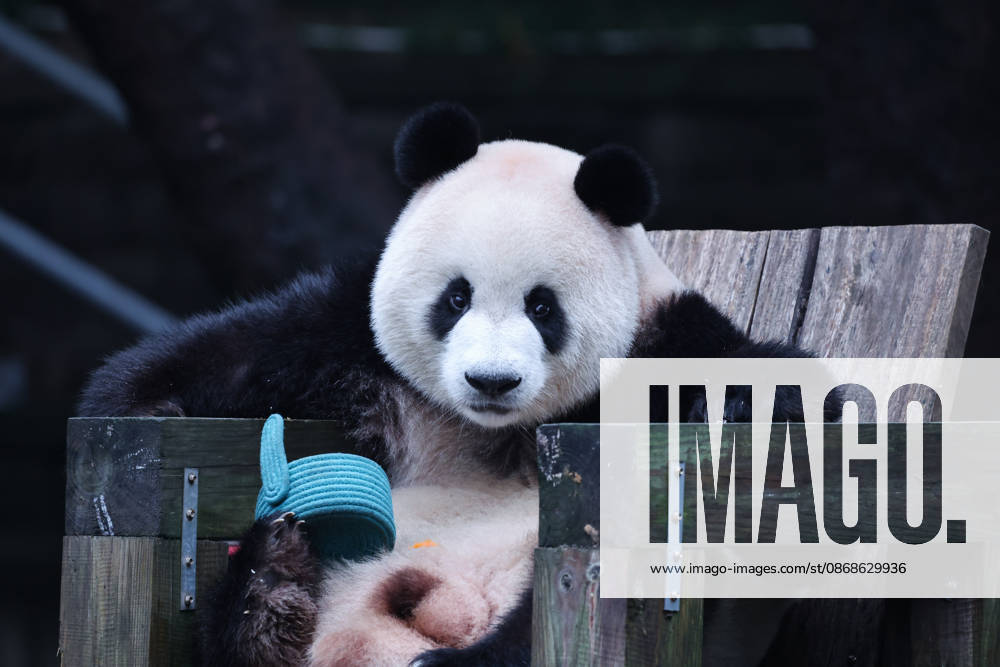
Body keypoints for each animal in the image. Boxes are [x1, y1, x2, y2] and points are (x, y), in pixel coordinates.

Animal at [78, 102, 809, 666]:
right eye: (456, 297)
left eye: (543, 307)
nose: (491, 380)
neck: (501, 432)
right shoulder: (364, 350)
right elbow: (253, 346)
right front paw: (130, 407)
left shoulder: (658, 342)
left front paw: (746, 404)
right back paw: (269, 588)